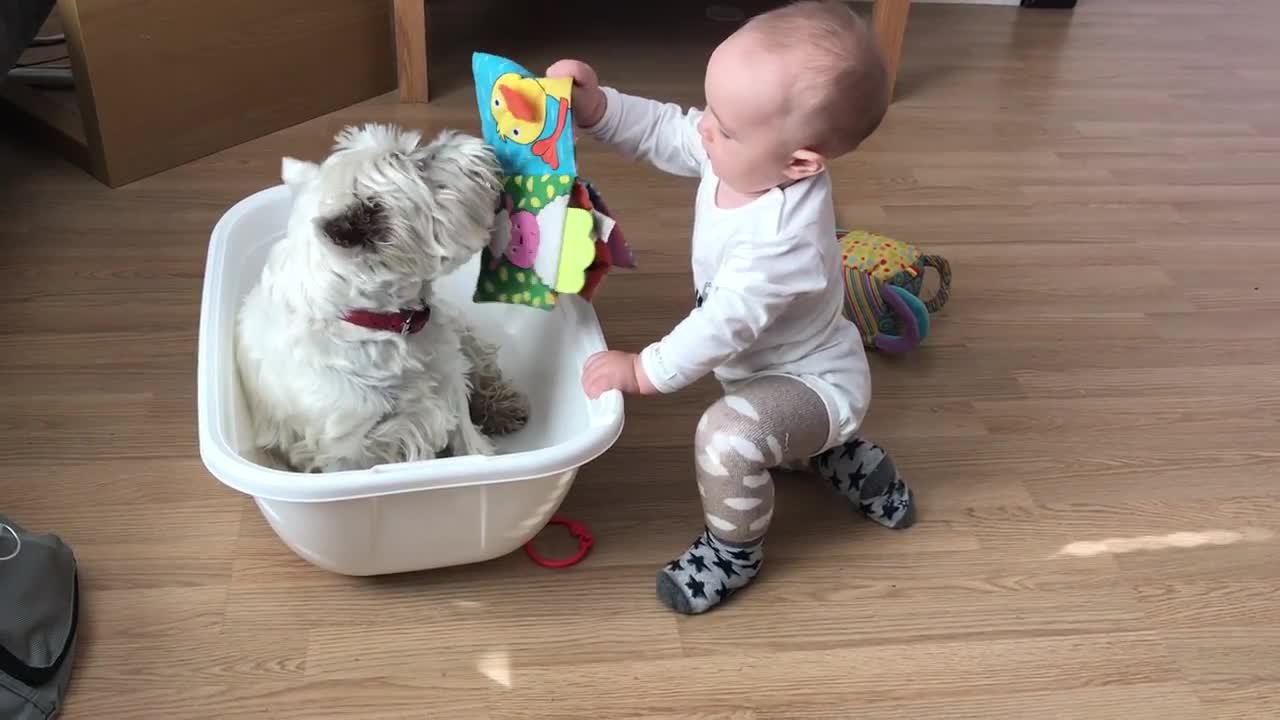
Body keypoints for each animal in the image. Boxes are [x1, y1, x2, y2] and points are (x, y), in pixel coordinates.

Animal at [238, 122, 527, 471]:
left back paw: (504, 406)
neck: (383, 323)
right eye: (417, 164)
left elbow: (469, 443)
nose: (481, 144)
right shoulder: (346, 449)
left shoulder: (450, 381)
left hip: (460, 335)